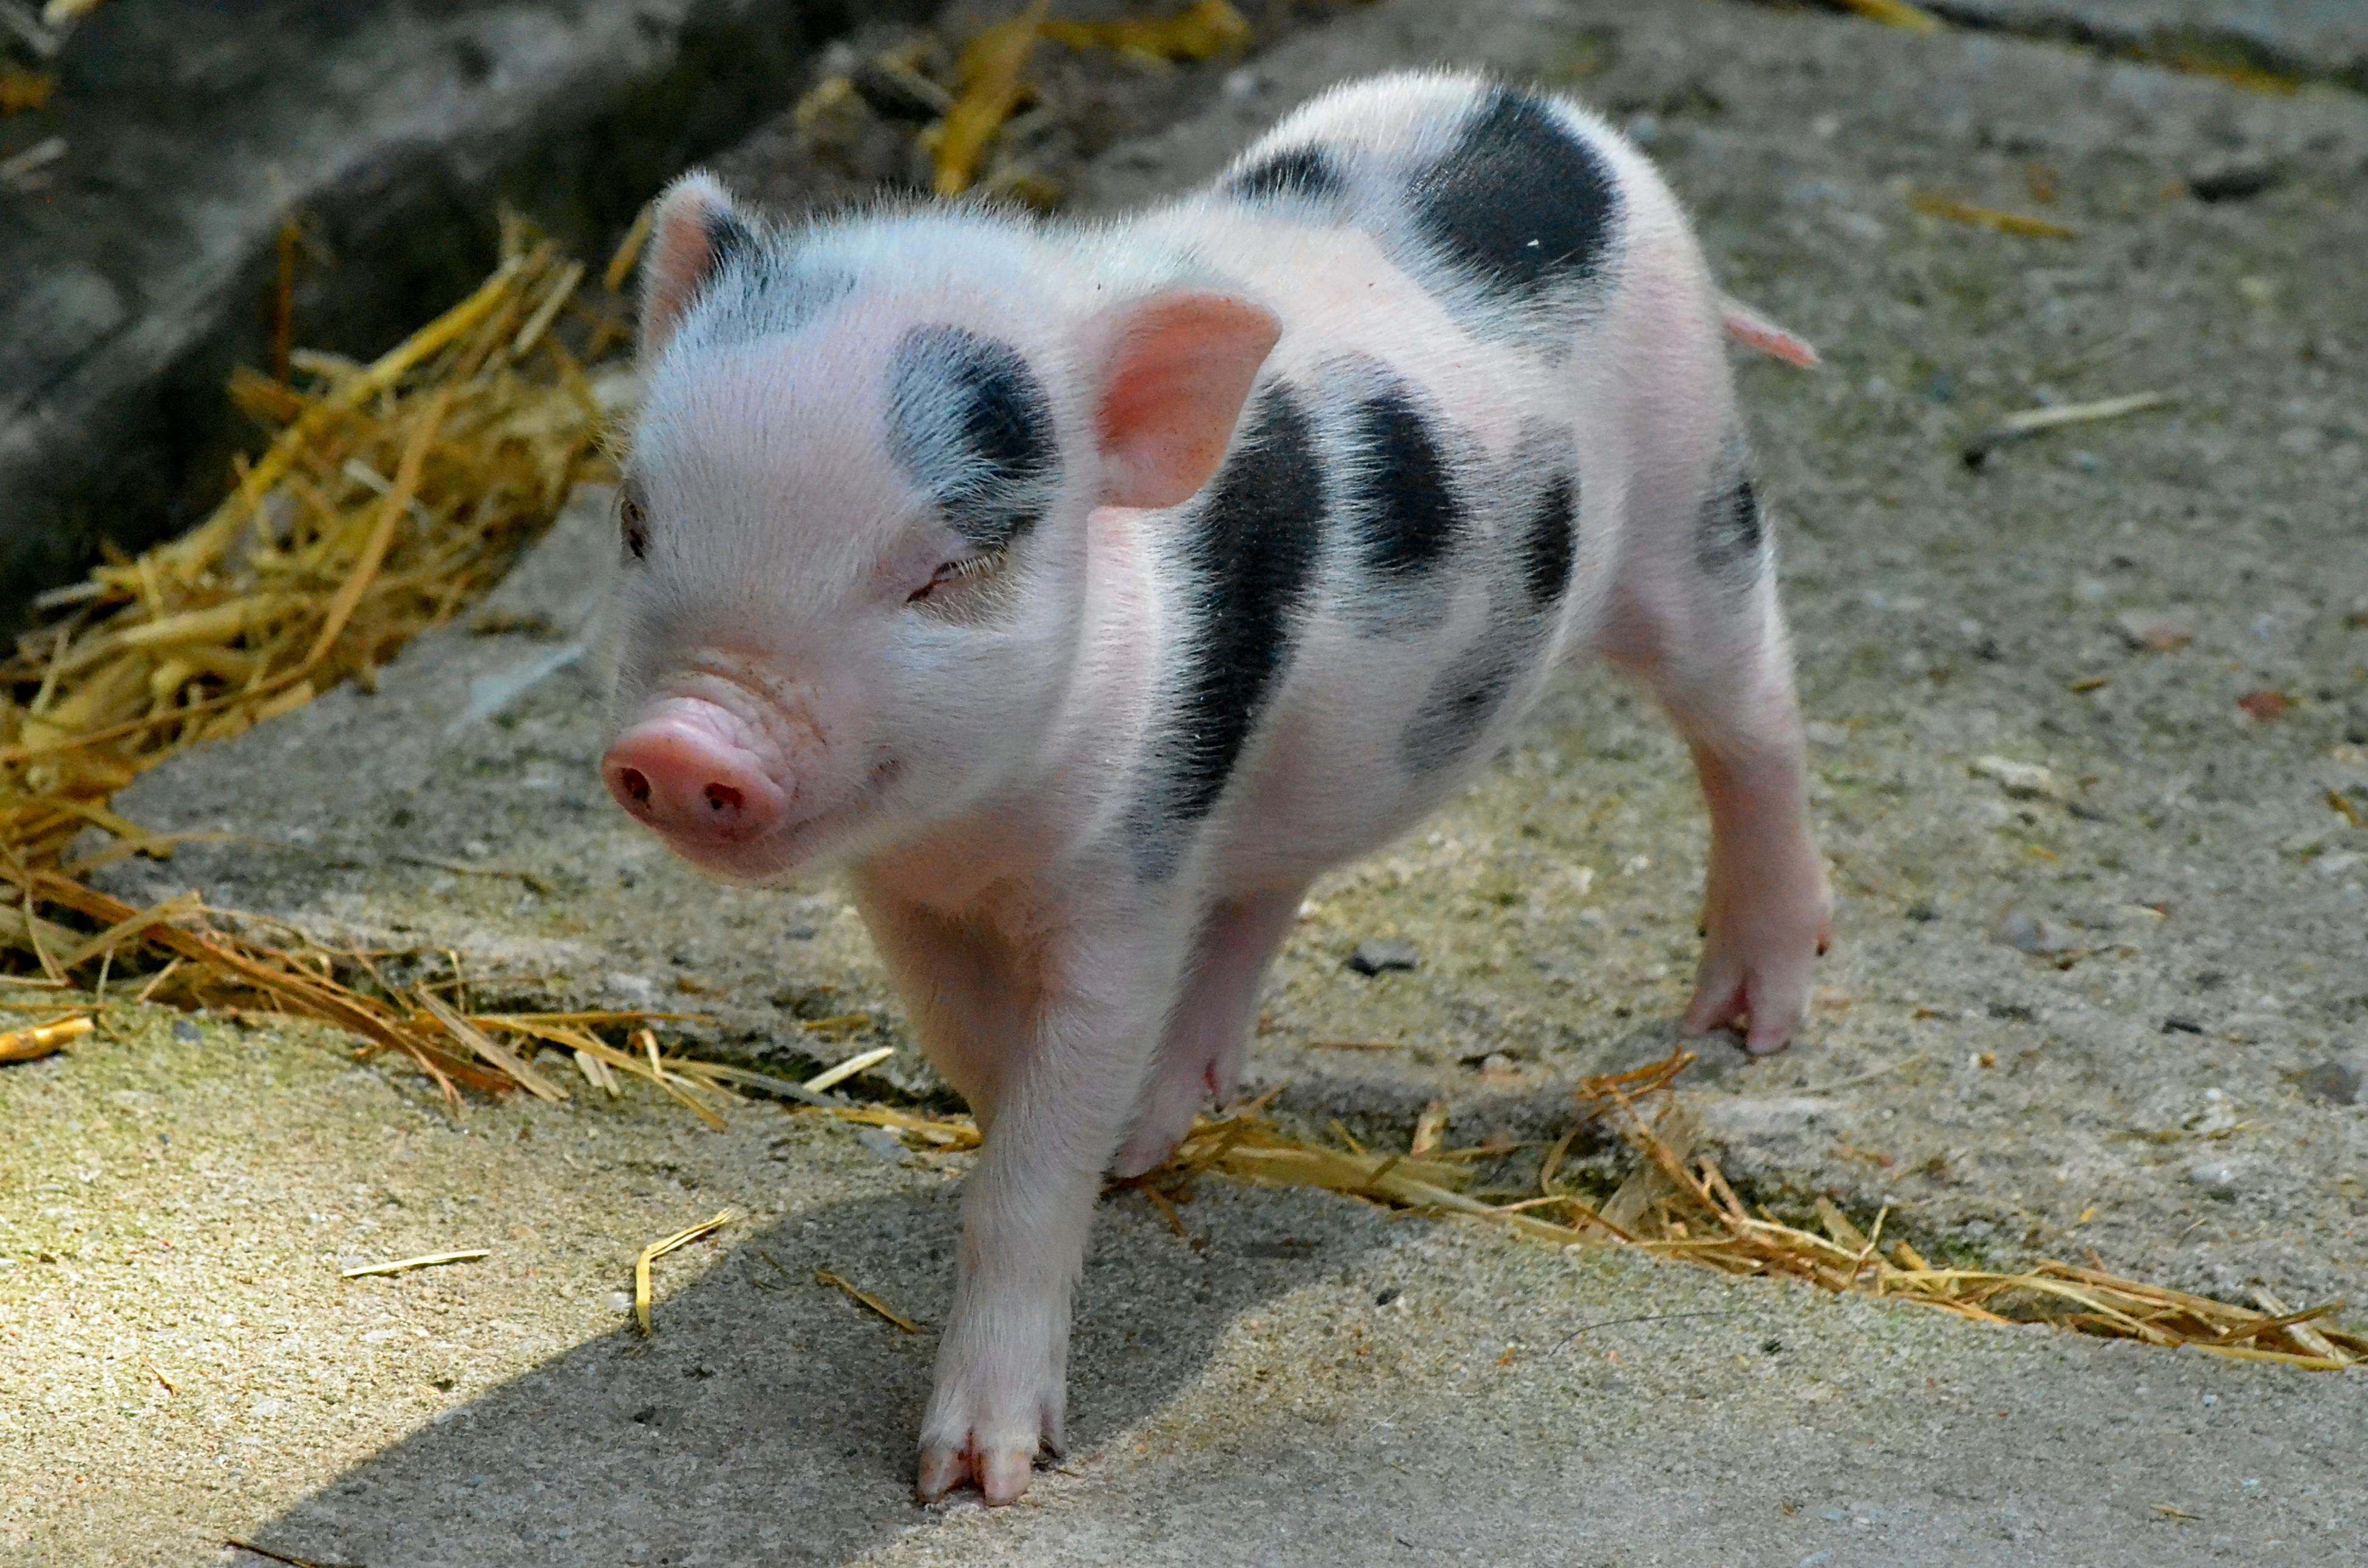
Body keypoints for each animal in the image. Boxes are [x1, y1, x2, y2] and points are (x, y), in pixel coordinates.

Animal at [601, 68, 1831, 1505]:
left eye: (942, 570)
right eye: (636, 522)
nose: (687, 743)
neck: (978, 831)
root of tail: (1542, 112)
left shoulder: (1127, 877)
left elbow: (1036, 1149)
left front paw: (973, 1478)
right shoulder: (910, 893)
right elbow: (979, 1054)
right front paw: (1112, 1138)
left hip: (1696, 501)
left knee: (1754, 717)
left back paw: (1746, 1020)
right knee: (1270, 881)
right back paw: (1170, 1106)